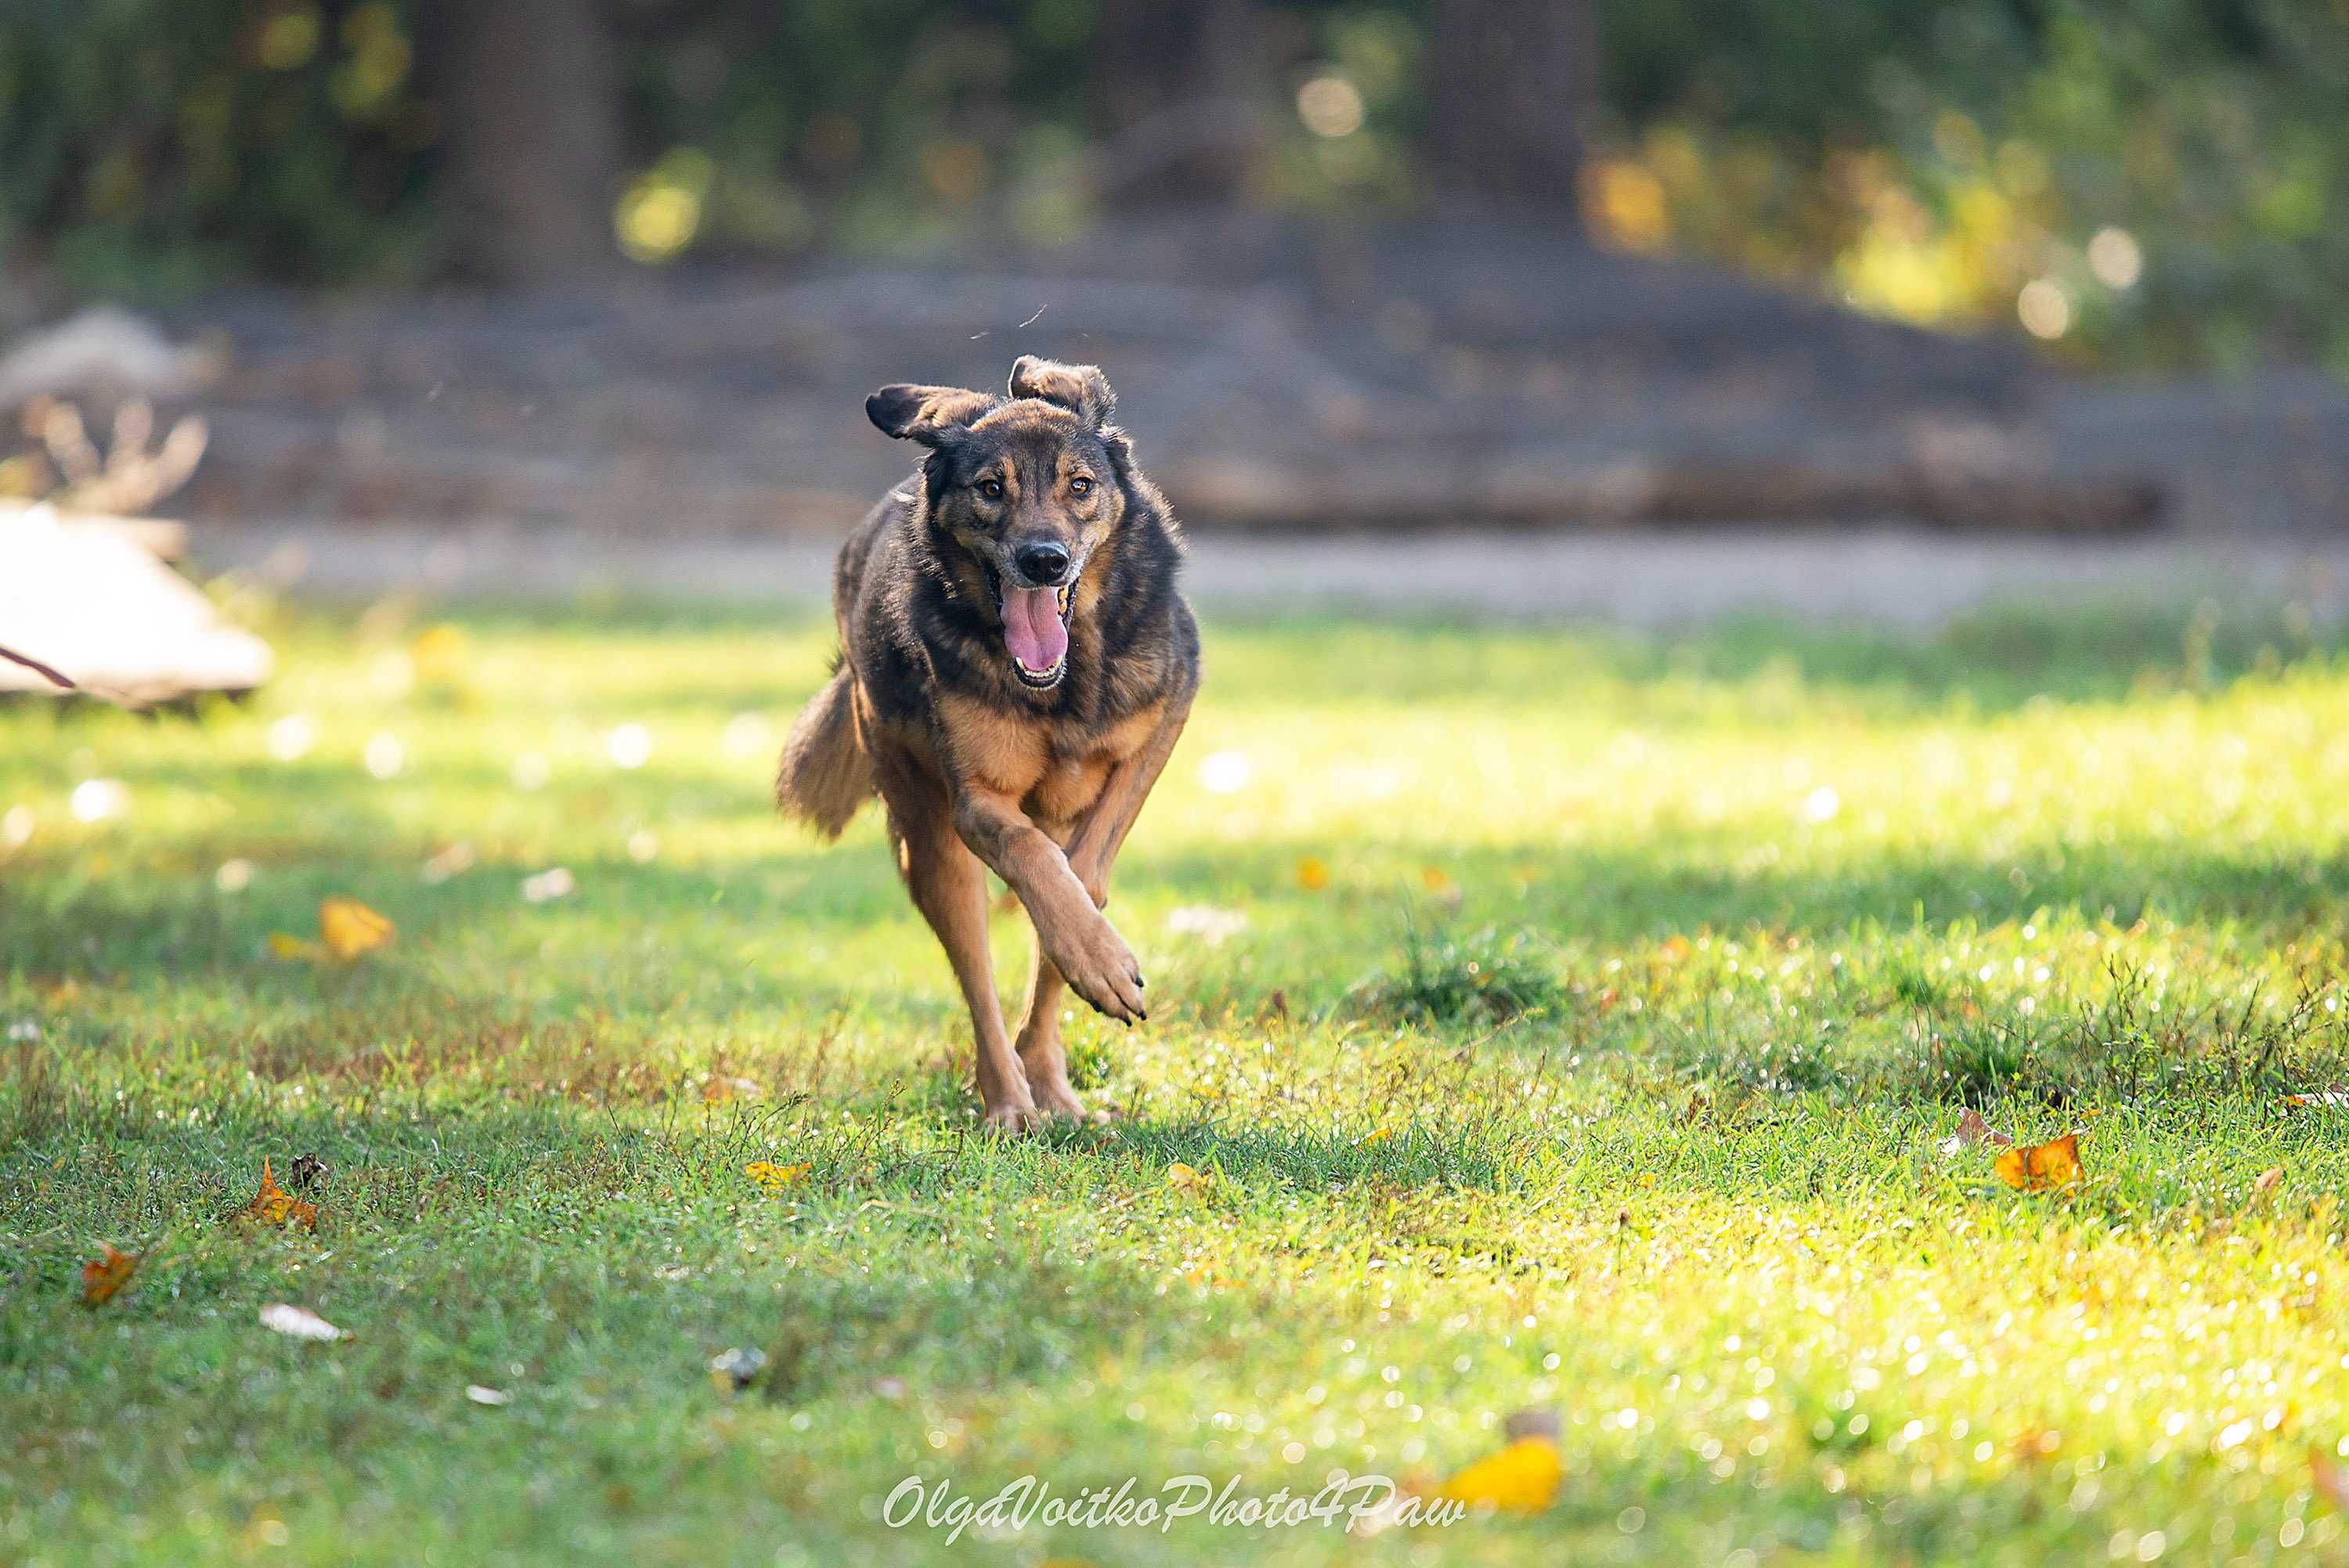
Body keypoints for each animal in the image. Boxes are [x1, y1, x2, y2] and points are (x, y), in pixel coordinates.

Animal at [780, 359, 1203, 1126]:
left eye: (1080, 485)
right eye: (990, 488)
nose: (1044, 561)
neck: (1061, 681)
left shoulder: (1169, 712)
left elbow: (1083, 875)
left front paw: (1093, 956)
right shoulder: (976, 803)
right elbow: (1033, 859)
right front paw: (1098, 958)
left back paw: (1053, 1086)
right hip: (929, 844)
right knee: (976, 975)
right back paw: (1010, 1101)